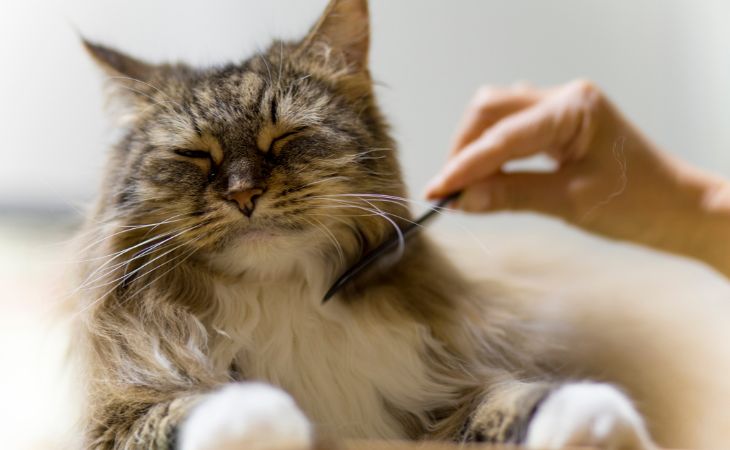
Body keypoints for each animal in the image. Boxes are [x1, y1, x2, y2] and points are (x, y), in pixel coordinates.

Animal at [71, 0, 656, 450]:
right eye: (194, 156)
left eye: (284, 139)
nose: (243, 194)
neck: (283, 298)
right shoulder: (116, 420)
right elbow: (204, 407)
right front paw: (276, 416)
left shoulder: (436, 393)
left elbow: (513, 398)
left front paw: (595, 416)